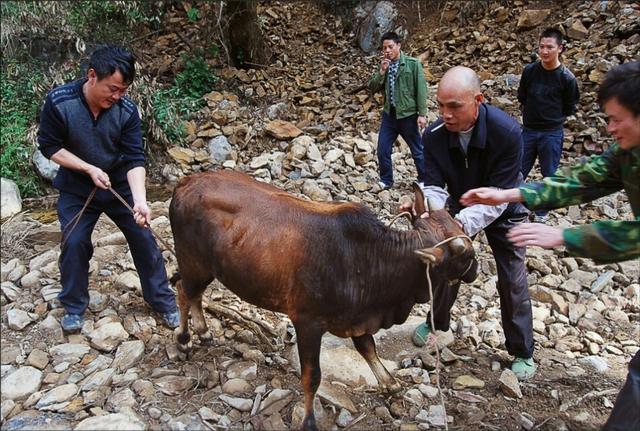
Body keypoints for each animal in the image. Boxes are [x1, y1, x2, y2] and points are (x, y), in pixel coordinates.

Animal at [168, 170, 478, 430]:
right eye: (467, 256)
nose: (476, 270)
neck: (371, 258)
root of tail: (185, 183)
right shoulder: (307, 322)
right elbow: (312, 375)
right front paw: (308, 420)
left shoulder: (357, 317)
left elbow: (368, 348)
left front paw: (389, 384)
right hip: (194, 263)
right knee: (184, 290)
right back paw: (184, 339)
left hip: (206, 269)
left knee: (194, 294)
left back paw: (203, 332)